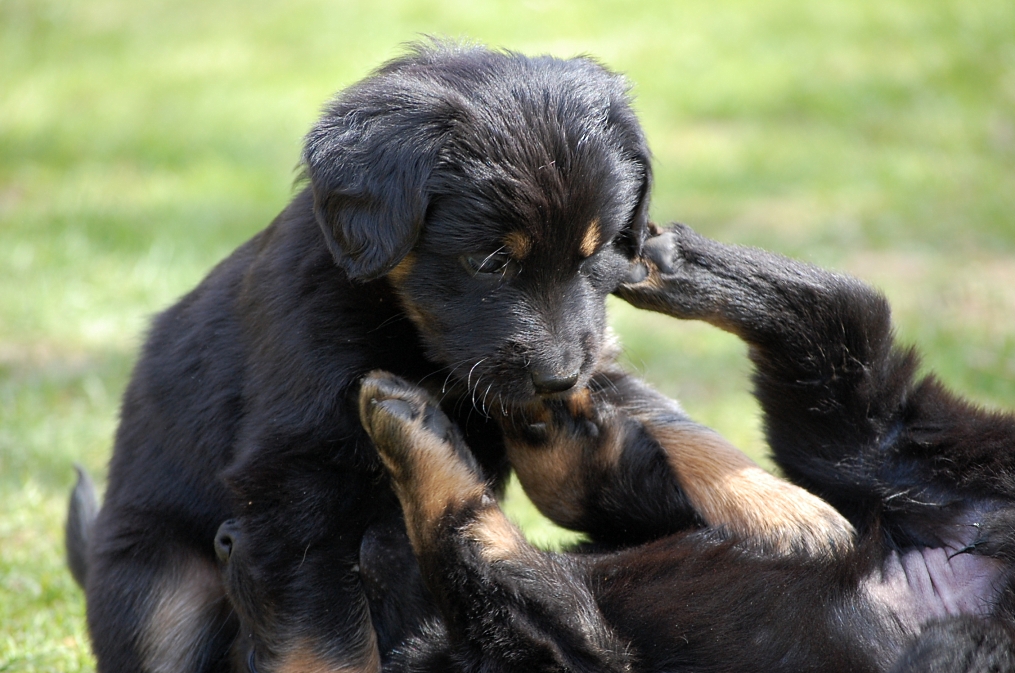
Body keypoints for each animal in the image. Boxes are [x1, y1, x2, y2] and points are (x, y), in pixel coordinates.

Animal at [67, 44, 851, 672]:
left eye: (598, 253)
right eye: (488, 260)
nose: (555, 378)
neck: (407, 326)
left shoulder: (591, 354)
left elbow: (669, 417)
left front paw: (792, 513)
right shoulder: (293, 477)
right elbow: (322, 640)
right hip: (161, 588)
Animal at [354, 224, 1015, 672]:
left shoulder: (576, 650)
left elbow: (467, 552)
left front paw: (419, 438)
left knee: (849, 321)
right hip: (867, 455)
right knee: (846, 343)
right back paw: (673, 267)